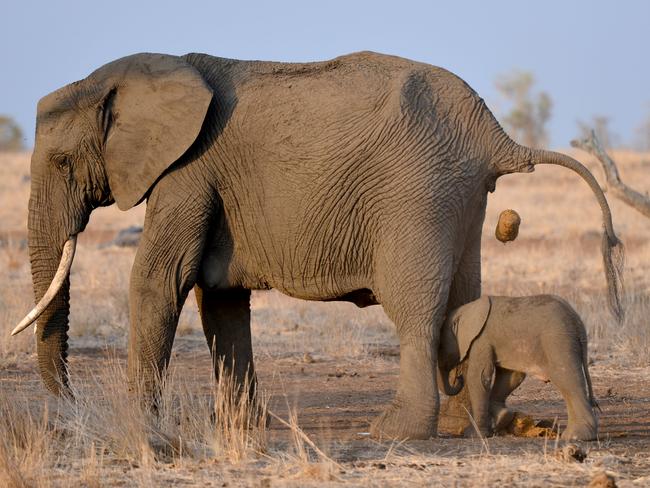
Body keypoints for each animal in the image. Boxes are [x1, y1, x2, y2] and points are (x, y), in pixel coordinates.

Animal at [436, 296, 596, 440]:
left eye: (441, 346)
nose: (458, 378)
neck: (468, 309)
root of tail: (578, 323)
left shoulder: (481, 340)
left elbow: (479, 378)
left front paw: (474, 435)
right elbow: (511, 377)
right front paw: (502, 419)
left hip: (558, 343)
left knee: (567, 381)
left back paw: (577, 436)